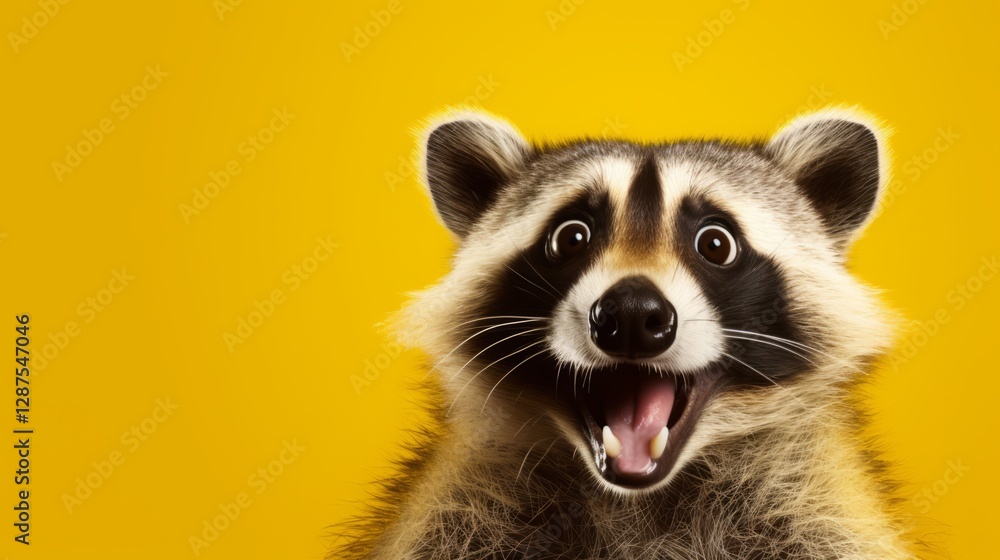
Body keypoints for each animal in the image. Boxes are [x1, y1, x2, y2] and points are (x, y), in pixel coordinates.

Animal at [334, 109, 913, 559]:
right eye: (570, 237)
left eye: (717, 243)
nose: (632, 315)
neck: (637, 501)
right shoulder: (455, 519)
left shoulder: (819, 519)